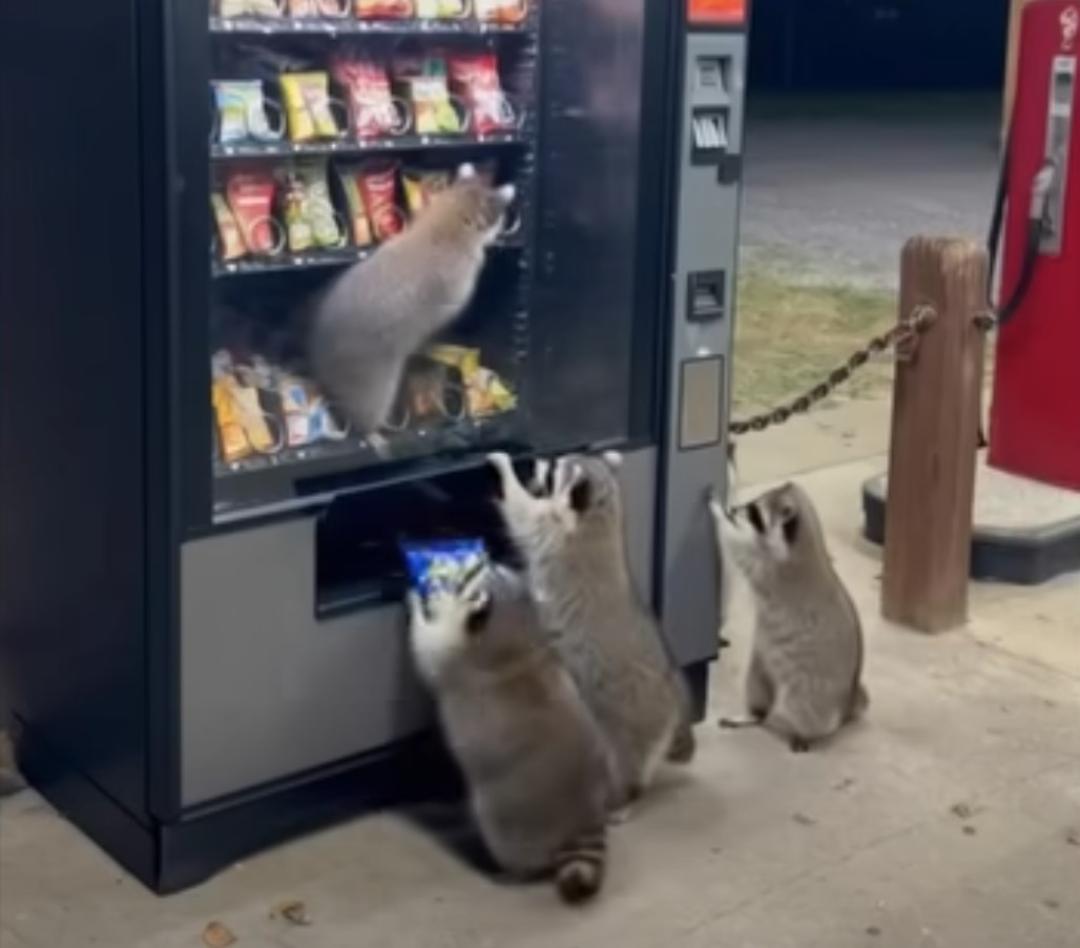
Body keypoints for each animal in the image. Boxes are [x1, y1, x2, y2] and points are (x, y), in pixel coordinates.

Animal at [408, 564, 613, 904]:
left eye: (470, 574)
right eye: (486, 566)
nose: (485, 560)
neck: (518, 631)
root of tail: (584, 820)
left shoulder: (460, 659)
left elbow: (430, 649)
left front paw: (421, 606)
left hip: (507, 821)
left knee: (519, 854)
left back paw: (513, 873)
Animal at [489, 451, 695, 815]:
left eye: (553, 471)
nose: (537, 460)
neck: (603, 510)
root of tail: (674, 698)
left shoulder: (555, 535)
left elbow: (522, 512)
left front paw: (504, 470)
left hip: (630, 717)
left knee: (625, 761)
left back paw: (623, 797)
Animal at [709, 481, 868, 752]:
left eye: (754, 512)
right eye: (752, 504)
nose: (734, 509)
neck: (807, 537)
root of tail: (846, 704)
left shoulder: (773, 568)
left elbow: (739, 550)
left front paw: (719, 514)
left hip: (813, 689)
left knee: (806, 712)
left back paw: (806, 732)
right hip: (761, 664)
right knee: (757, 689)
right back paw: (755, 713)